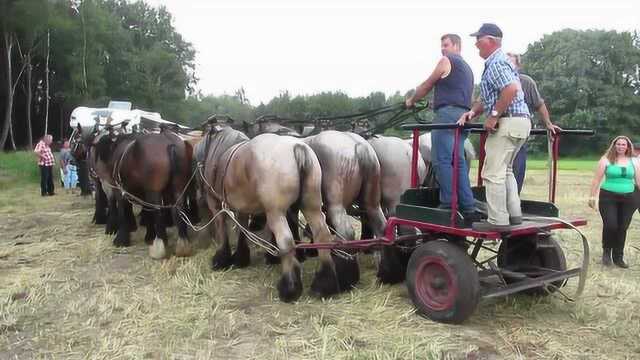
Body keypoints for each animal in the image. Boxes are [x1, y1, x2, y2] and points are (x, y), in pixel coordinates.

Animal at [201, 125, 360, 302]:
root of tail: (297, 147)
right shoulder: (242, 209)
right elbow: (242, 230)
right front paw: (241, 258)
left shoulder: (217, 206)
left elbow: (222, 230)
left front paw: (221, 259)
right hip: (311, 207)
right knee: (322, 235)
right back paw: (324, 285)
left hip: (276, 213)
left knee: (286, 241)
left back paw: (289, 288)